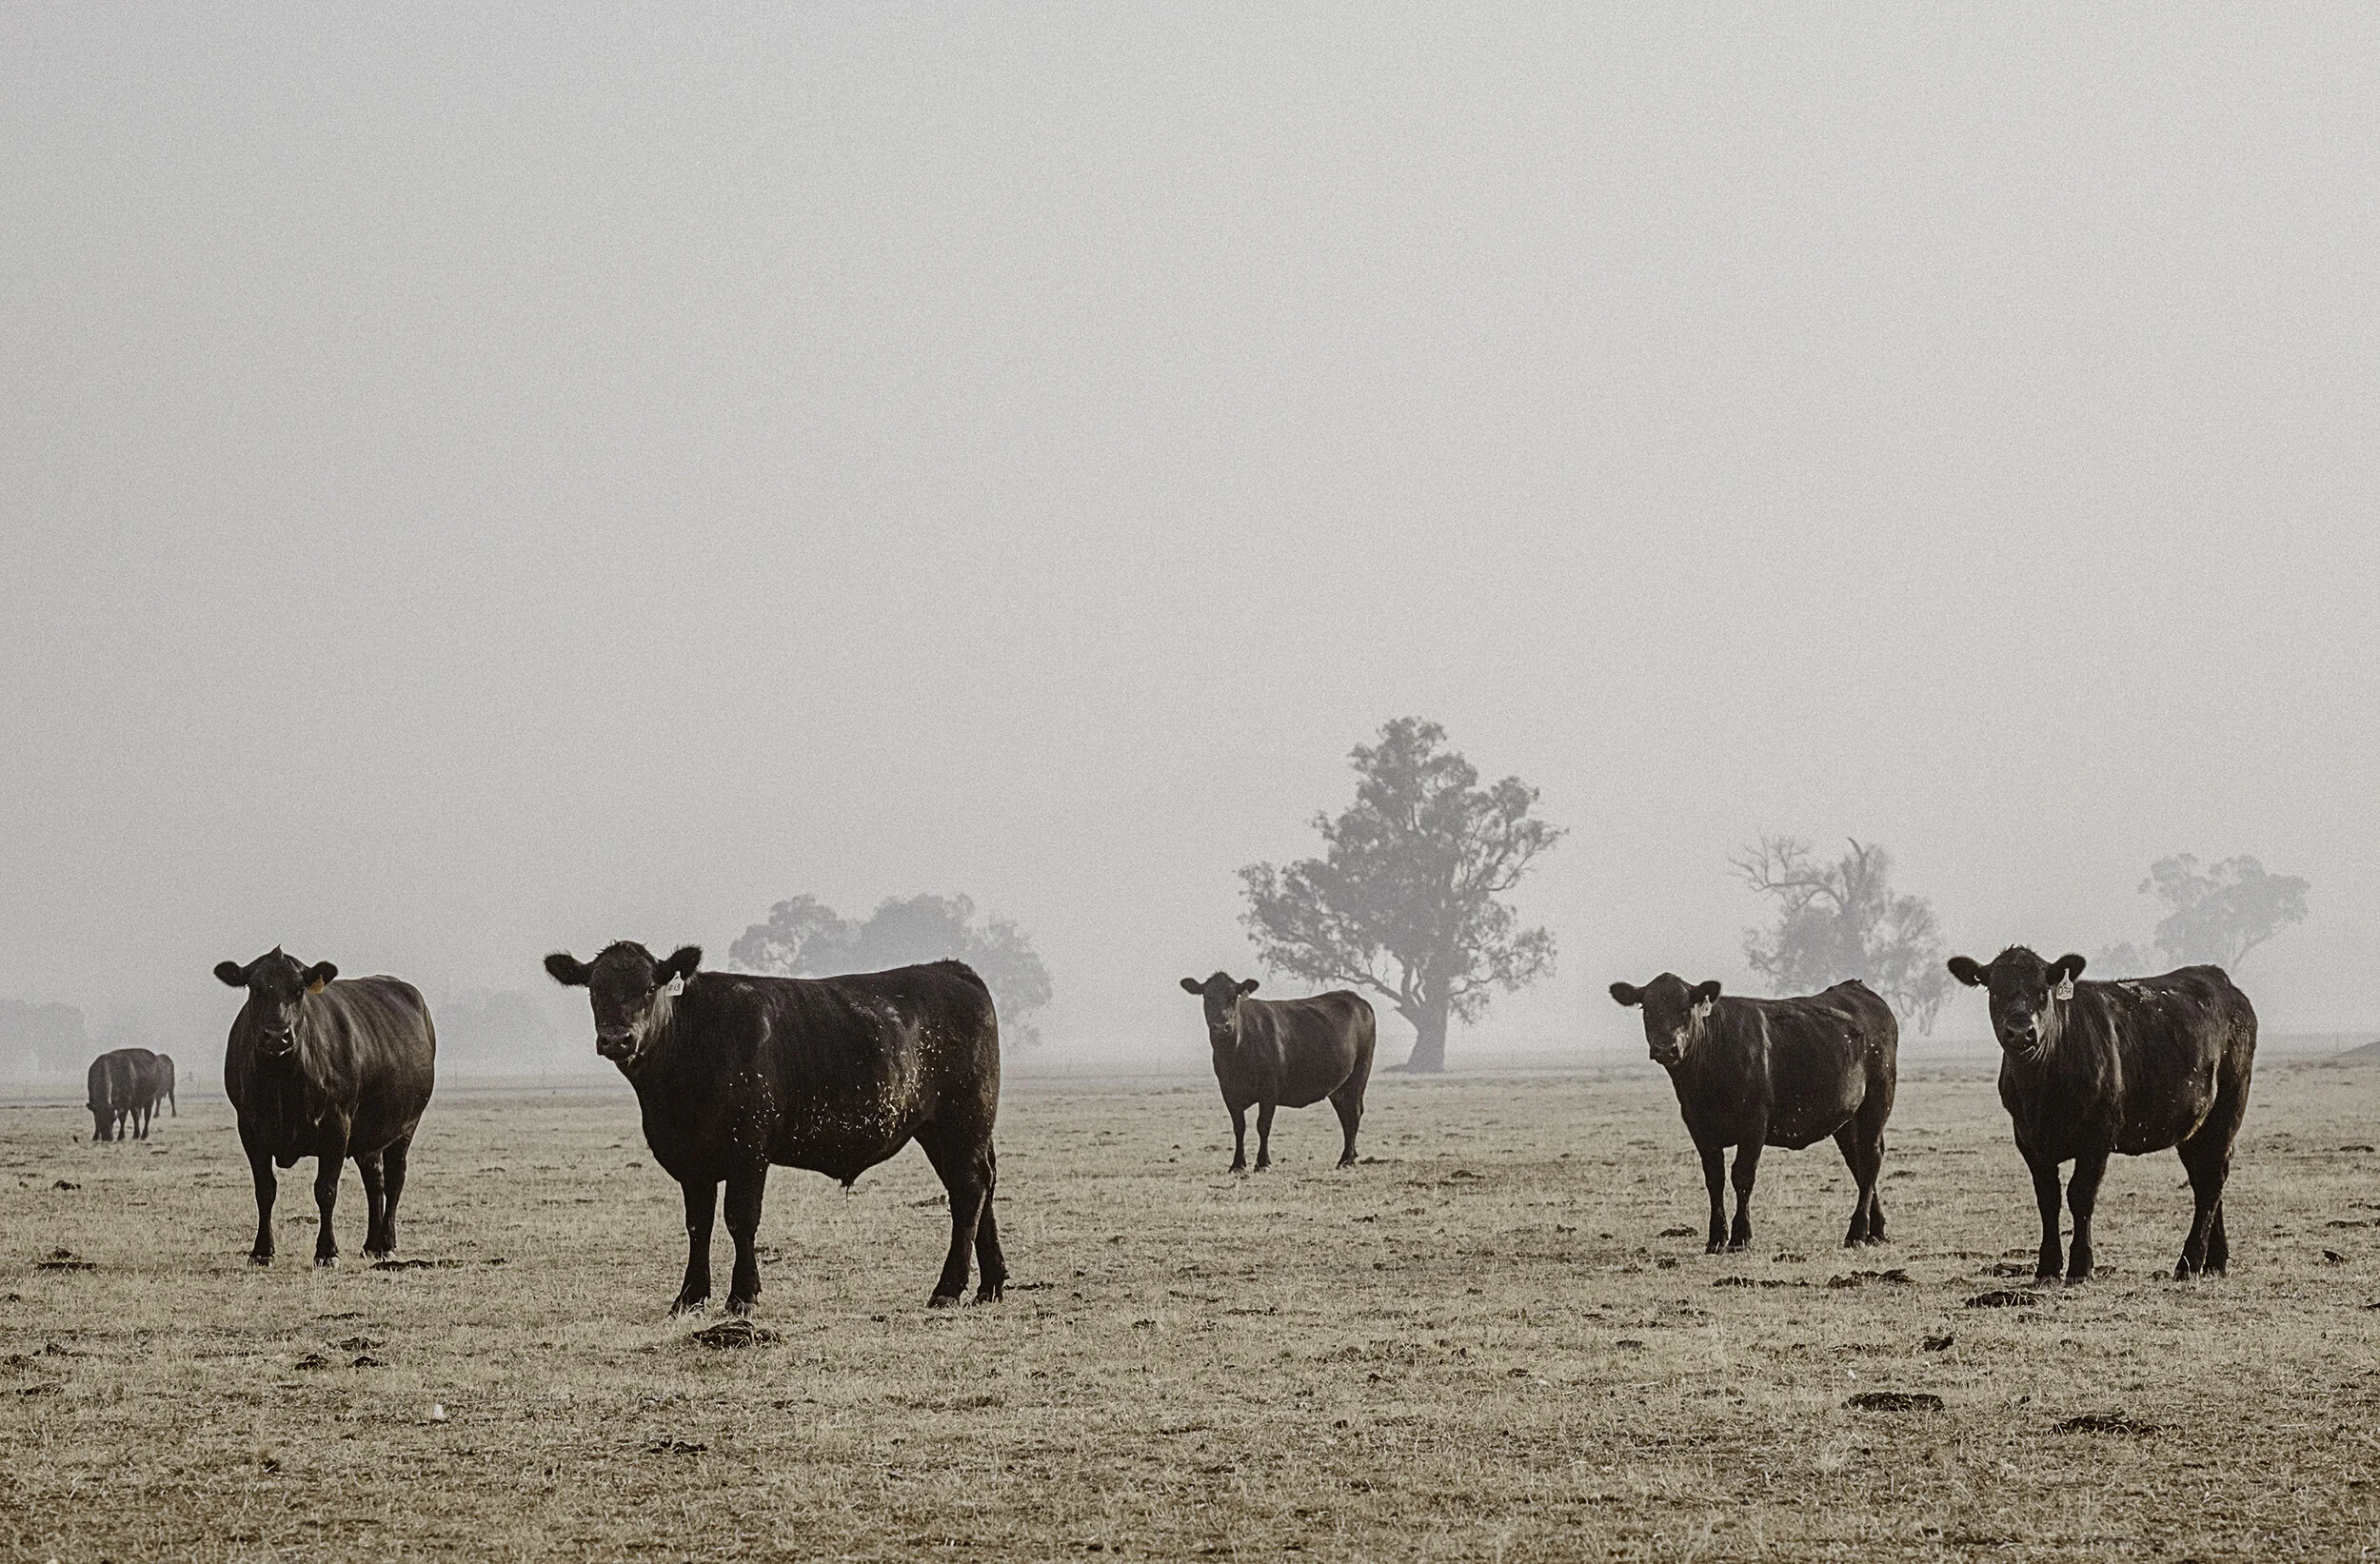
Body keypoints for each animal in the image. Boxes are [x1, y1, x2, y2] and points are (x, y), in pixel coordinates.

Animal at [213, 949, 437, 1266]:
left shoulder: (337, 1126)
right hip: (370, 1135)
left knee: (395, 1178)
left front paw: (327, 1252)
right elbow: (265, 1189)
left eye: (299, 990)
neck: (282, 1084)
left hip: (406, 1126)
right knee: (375, 1180)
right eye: (255, 988)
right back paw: (371, 1245)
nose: (277, 1035)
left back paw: (387, 1243)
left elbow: (326, 1189)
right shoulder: (250, 1129)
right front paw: (261, 1251)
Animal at [544, 942, 1006, 1315]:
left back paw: (948, 1289)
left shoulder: (749, 1150)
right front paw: (689, 1297)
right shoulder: (692, 1161)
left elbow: (740, 1220)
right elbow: (698, 1225)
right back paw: (989, 1286)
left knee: (968, 1191)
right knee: (981, 1187)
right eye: (594, 990)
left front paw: (742, 1295)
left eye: (648, 988)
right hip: (943, 1131)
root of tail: (952, 969)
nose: (617, 1039)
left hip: (963, 1119)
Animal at [1177, 973, 1375, 1173]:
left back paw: (1347, 1160)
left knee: (1354, 1112)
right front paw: (1237, 1164)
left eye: (1233, 998)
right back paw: (1346, 1158)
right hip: (1339, 1087)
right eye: (1207, 997)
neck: (1235, 1053)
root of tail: (1355, 998)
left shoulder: (1270, 1089)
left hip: (1360, 1073)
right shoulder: (1228, 1090)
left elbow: (1263, 1125)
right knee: (1345, 1116)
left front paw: (1263, 1163)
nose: (1221, 1026)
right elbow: (1239, 1127)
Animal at [1609, 975, 1898, 1252]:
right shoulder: (1699, 1128)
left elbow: (1742, 1176)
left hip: (1877, 1100)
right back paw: (1876, 1231)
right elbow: (1714, 1179)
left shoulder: (1754, 1124)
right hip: (1846, 1117)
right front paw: (1716, 1239)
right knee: (1858, 1163)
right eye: (1647, 1009)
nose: (1665, 1047)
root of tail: (1856, 988)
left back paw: (1857, 1234)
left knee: (1870, 1159)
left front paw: (1740, 1237)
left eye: (1686, 1008)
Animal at [1946, 947, 2256, 1283]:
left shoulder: (2097, 1136)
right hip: (2192, 1126)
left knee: (2212, 1180)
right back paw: (2215, 1261)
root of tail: (2220, 980)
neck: (2041, 1090)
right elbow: (2048, 1199)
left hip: (2227, 1109)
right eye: (1995, 990)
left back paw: (2189, 1262)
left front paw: (2081, 1266)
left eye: (2043, 990)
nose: (2020, 1032)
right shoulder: (2028, 1139)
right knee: (2206, 1178)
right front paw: (2047, 1268)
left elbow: (2080, 1195)